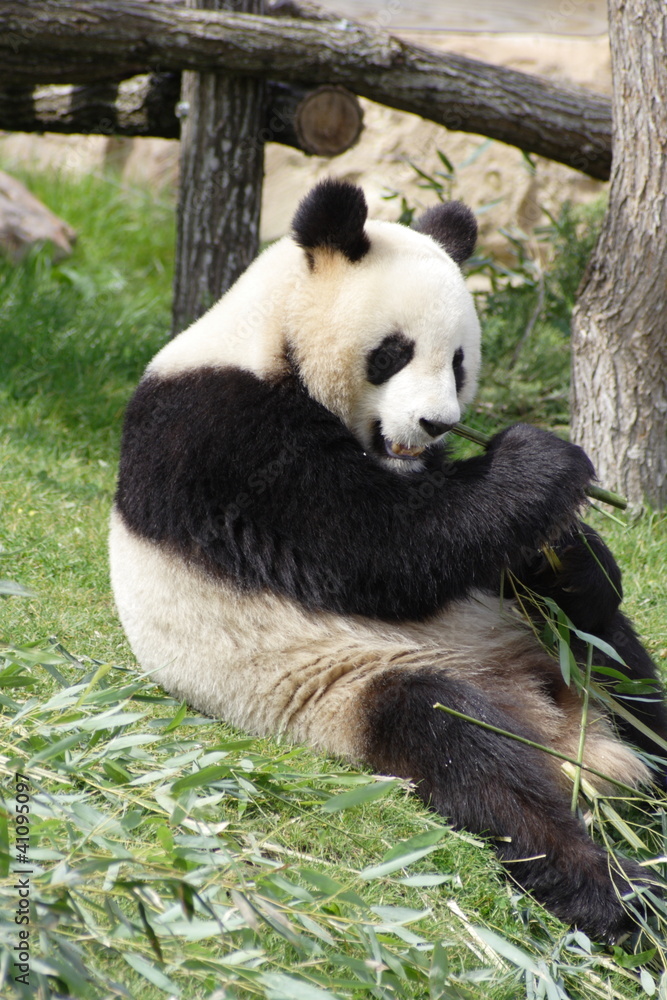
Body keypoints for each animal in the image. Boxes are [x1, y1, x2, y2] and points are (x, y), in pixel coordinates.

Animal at [110, 178, 667, 943]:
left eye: (459, 361)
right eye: (393, 352)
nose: (435, 424)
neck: (268, 337)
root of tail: (560, 734)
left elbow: (504, 560)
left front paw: (570, 556)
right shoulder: (218, 435)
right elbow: (376, 548)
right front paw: (542, 463)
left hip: (546, 650)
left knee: (627, 679)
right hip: (350, 686)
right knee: (470, 755)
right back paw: (619, 895)